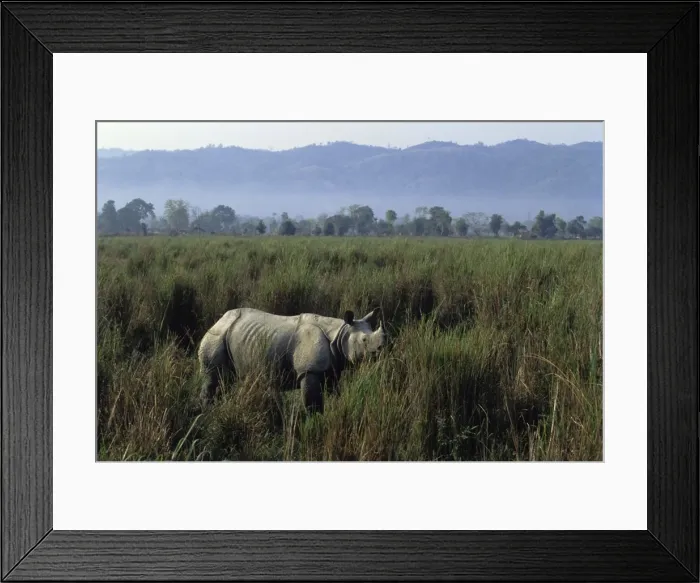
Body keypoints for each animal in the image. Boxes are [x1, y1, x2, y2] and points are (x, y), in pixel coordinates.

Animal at [197, 306, 387, 413]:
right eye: (364, 340)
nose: (381, 351)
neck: (340, 333)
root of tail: (218, 321)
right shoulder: (309, 370)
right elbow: (312, 404)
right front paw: (314, 423)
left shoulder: (331, 370)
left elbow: (334, 394)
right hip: (216, 336)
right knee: (215, 378)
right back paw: (206, 412)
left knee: (226, 380)